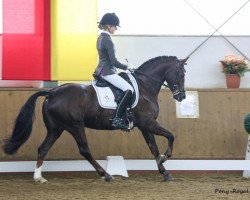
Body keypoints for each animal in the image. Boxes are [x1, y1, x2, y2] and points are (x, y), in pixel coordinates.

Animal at [2, 55, 188, 182]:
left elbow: (153, 148)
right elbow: (171, 136)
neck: (144, 87)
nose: (182, 97)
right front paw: (165, 158)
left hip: (56, 128)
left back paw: (38, 177)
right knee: (84, 149)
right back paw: (106, 175)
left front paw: (164, 172)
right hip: (75, 126)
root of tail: (51, 92)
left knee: (43, 148)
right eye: (181, 73)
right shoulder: (148, 123)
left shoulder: (144, 126)